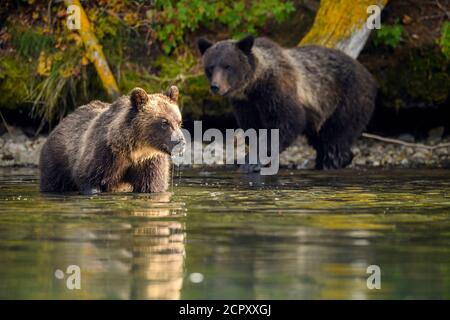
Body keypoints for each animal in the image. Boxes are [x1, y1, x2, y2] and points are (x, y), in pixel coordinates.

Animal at [39, 86, 185, 194]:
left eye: (179, 121)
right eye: (164, 122)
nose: (181, 142)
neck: (135, 151)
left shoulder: (150, 162)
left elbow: (151, 185)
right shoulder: (103, 154)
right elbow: (89, 179)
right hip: (57, 160)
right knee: (53, 181)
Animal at [199, 35, 378, 170]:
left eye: (227, 66)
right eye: (210, 67)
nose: (215, 86)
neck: (253, 86)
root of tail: (368, 75)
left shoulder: (277, 89)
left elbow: (287, 121)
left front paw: (253, 161)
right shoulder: (245, 104)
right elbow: (253, 127)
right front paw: (245, 159)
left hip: (347, 98)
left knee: (337, 134)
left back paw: (333, 161)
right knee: (320, 137)